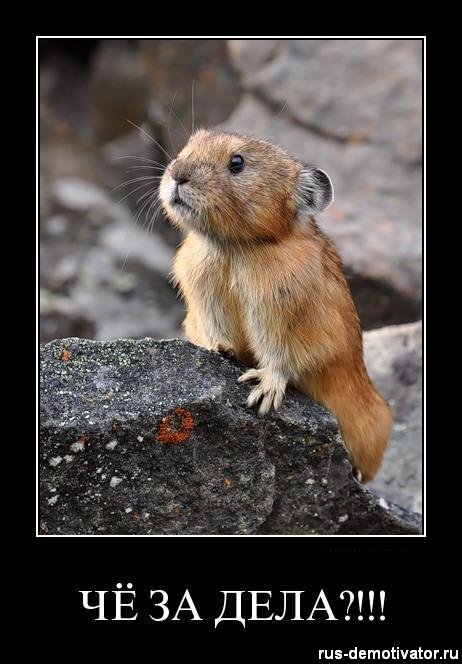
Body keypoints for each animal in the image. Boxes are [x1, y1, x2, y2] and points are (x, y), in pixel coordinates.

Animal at [159, 129, 392, 482]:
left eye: (237, 162)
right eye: (188, 147)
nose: (178, 175)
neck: (235, 249)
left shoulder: (285, 314)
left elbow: (284, 354)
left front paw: (262, 393)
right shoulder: (204, 296)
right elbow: (213, 332)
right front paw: (220, 349)